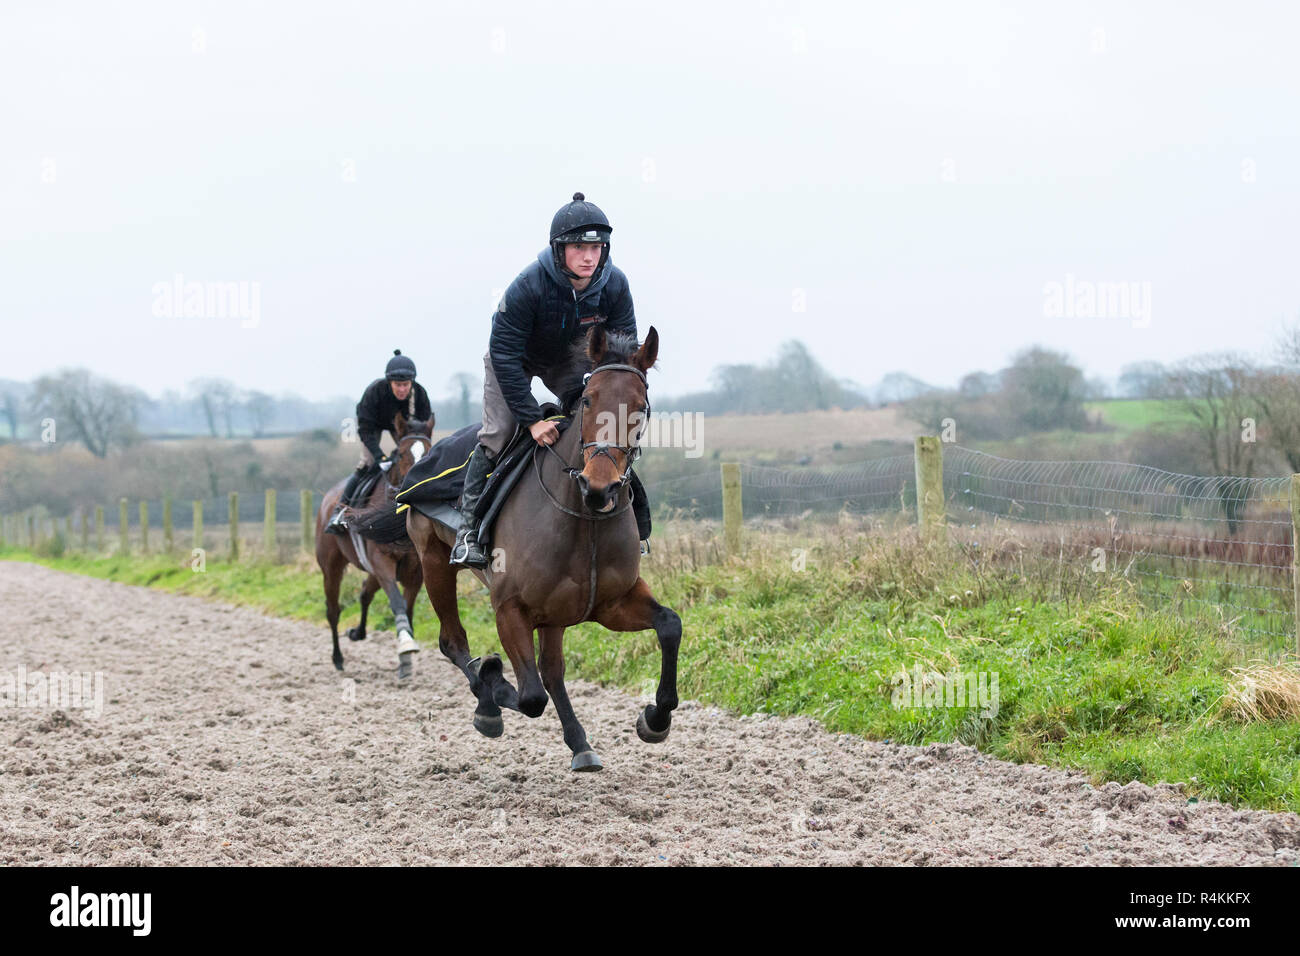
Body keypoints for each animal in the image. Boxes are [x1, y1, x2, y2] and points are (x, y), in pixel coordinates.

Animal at [315, 416, 434, 681]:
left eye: (429, 450)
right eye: (402, 453)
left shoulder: (415, 571)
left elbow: (407, 608)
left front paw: (405, 657)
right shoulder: (382, 561)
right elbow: (397, 602)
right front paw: (406, 647)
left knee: (364, 593)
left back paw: (357, 633)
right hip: (331, 566)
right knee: (333, 610)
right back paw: (338, 658)